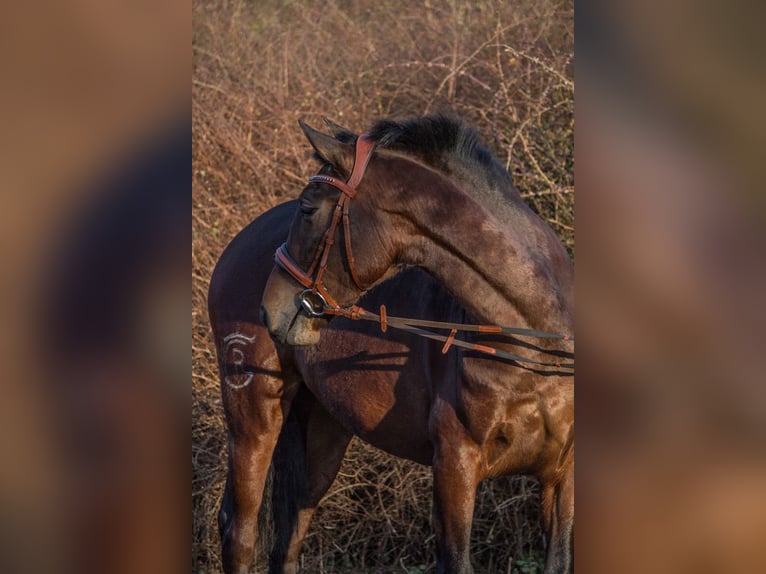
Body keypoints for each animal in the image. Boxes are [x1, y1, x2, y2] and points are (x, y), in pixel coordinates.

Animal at [213, 115, 572, 572]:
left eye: (308, 209)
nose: (269, 309)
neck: (535, 349)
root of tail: (237, 244)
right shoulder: (455, 468)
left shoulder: (561, 479)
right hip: (253, 417)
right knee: (239, 531)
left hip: (321, 434)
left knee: (289, 537)